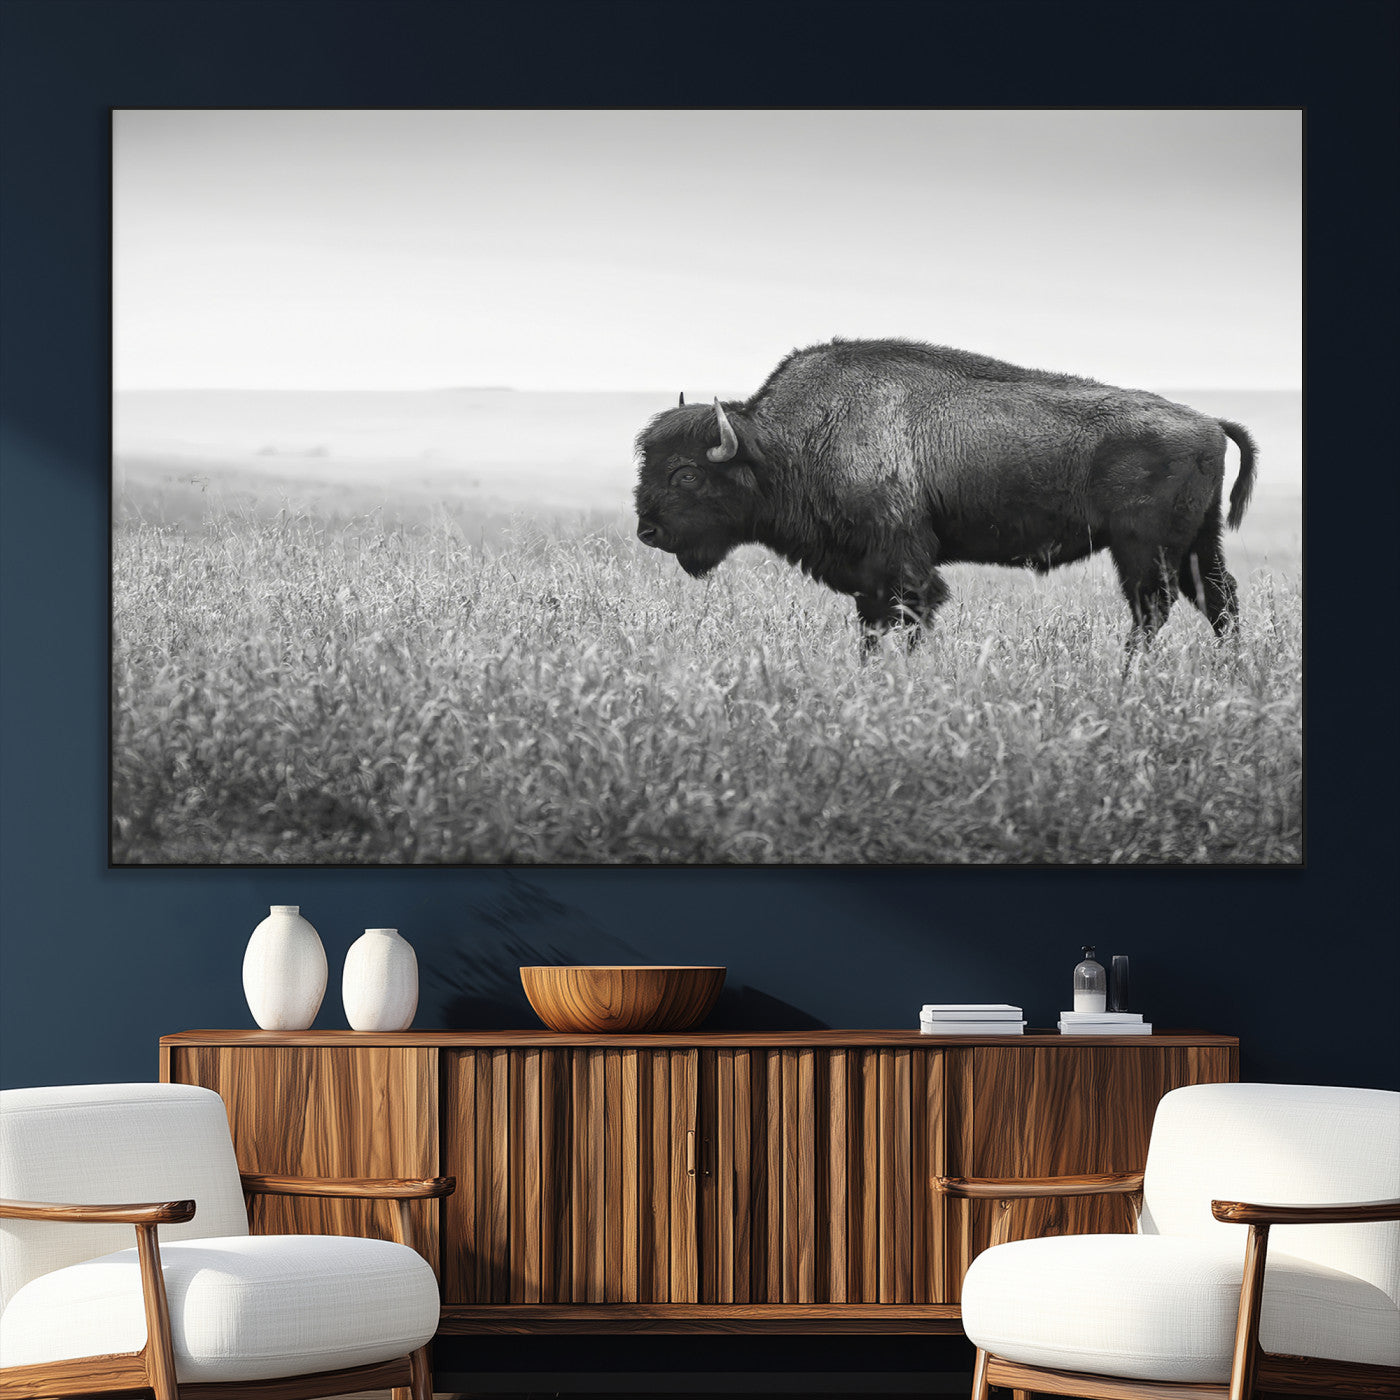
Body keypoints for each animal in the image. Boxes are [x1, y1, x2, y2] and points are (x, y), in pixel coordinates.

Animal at [633, 338, 1256, 651]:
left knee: (1154, 609)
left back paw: (1128, 677)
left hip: (1142, 549)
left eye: (686, 474)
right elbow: (873, 627)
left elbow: (908, 619)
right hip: (1197, 542)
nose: (647, 531)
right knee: (1218, 600)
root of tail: (1208, 421)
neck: (788, 443)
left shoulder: (903, 566)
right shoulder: (868, 577)